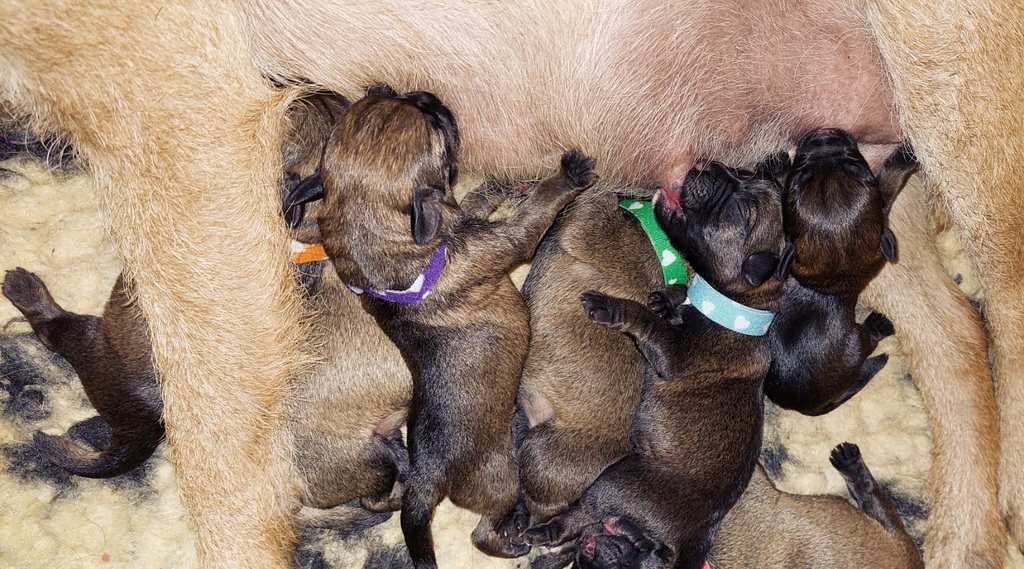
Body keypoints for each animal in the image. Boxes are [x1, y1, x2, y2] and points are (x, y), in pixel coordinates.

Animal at [315, 89, 597, 567]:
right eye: (432, 124)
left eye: (387, 96)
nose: (426, 94)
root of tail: (426, 480)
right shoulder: (503, 242)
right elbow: (532, 214)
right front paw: (565, 176)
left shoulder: (463, 219)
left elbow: (472, 204)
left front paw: (500, 184)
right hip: (500, 479)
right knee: (481, 530)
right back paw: (509, 542)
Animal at [524, 158, 787, 569]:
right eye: (744, 174)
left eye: (739, 211)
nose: (708, 164)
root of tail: (696, 536)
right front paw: (667, 298)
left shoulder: (678, 353)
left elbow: (645, 320)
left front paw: (613, 307)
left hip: (606, 480)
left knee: (573, 517)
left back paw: (539, 533)